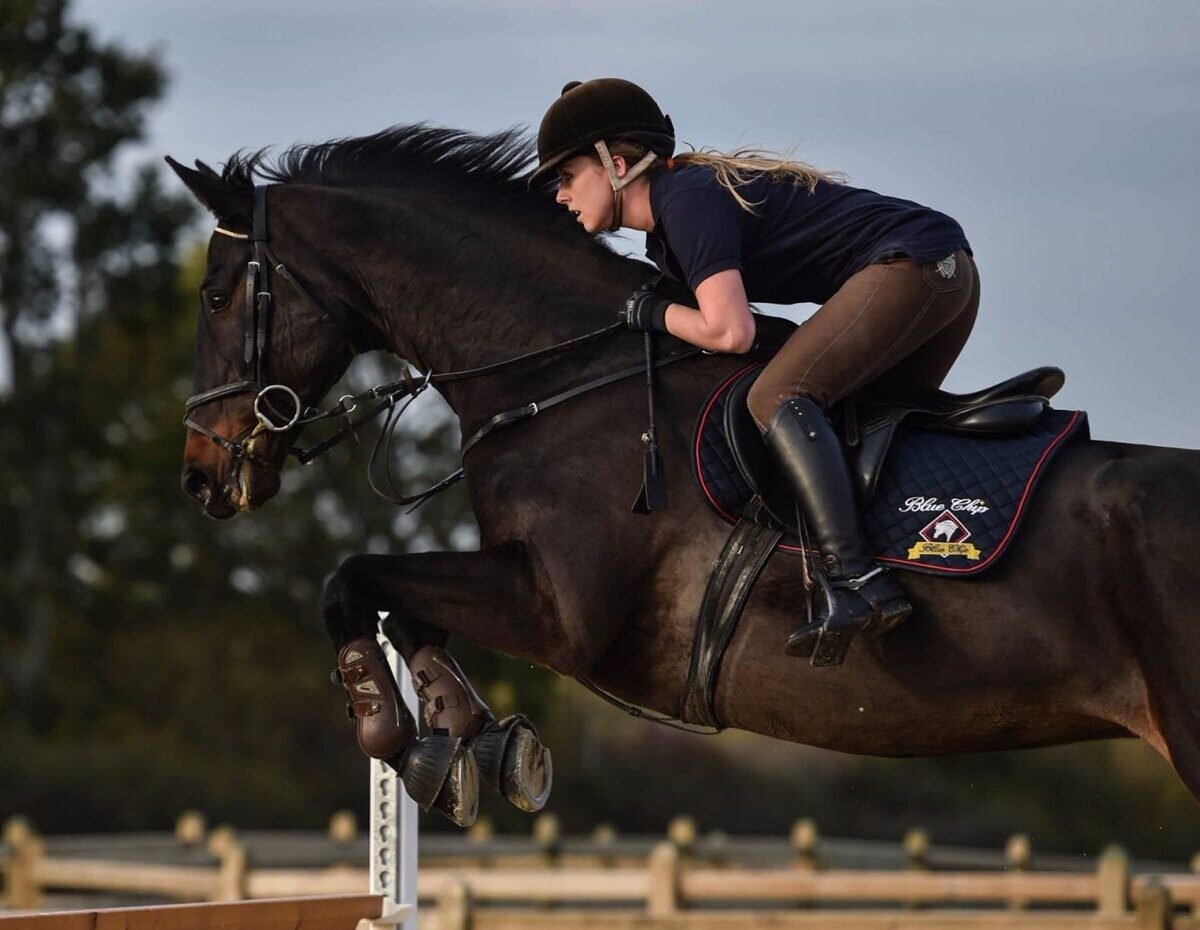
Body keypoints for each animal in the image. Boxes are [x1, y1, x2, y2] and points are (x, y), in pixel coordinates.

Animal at [169, 125, 1200, 830]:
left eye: (217, 294)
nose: (201, 476)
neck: (562, 374)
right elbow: (400, 603)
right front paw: (467, 739)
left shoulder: (561, 612)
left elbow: (354, 579)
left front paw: (391, 729)